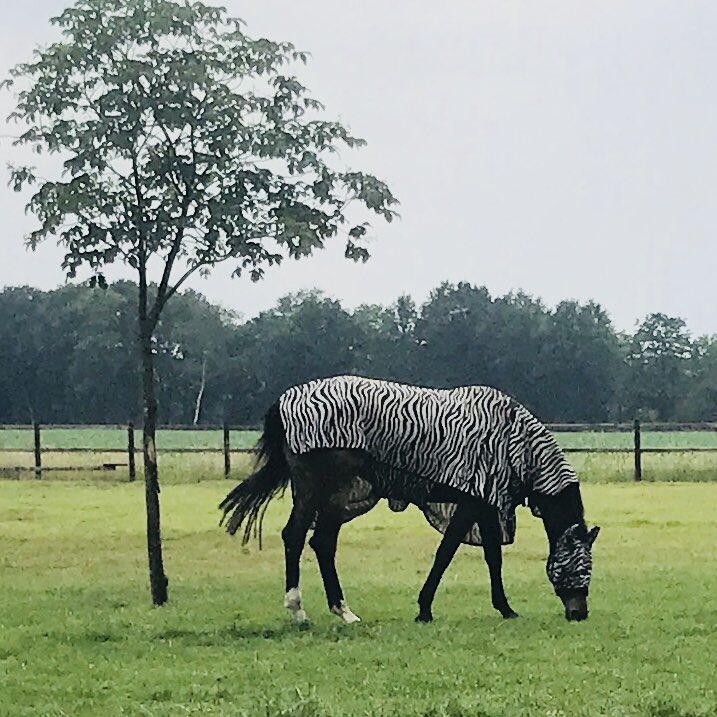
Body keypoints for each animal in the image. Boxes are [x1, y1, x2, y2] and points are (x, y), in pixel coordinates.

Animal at [220, 376, 600, 624]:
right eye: (583, 567)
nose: (579, 613)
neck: (513, 440)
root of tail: (287, 400)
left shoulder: (485, 504)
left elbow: (492, 557)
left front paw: (505, 608)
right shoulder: (472, 504)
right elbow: (446, 553)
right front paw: (425, 609)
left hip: (331, 496)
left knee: (320, 542)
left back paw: (343, 611)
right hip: (323, 491)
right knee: (299, 537)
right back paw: (300, 610)